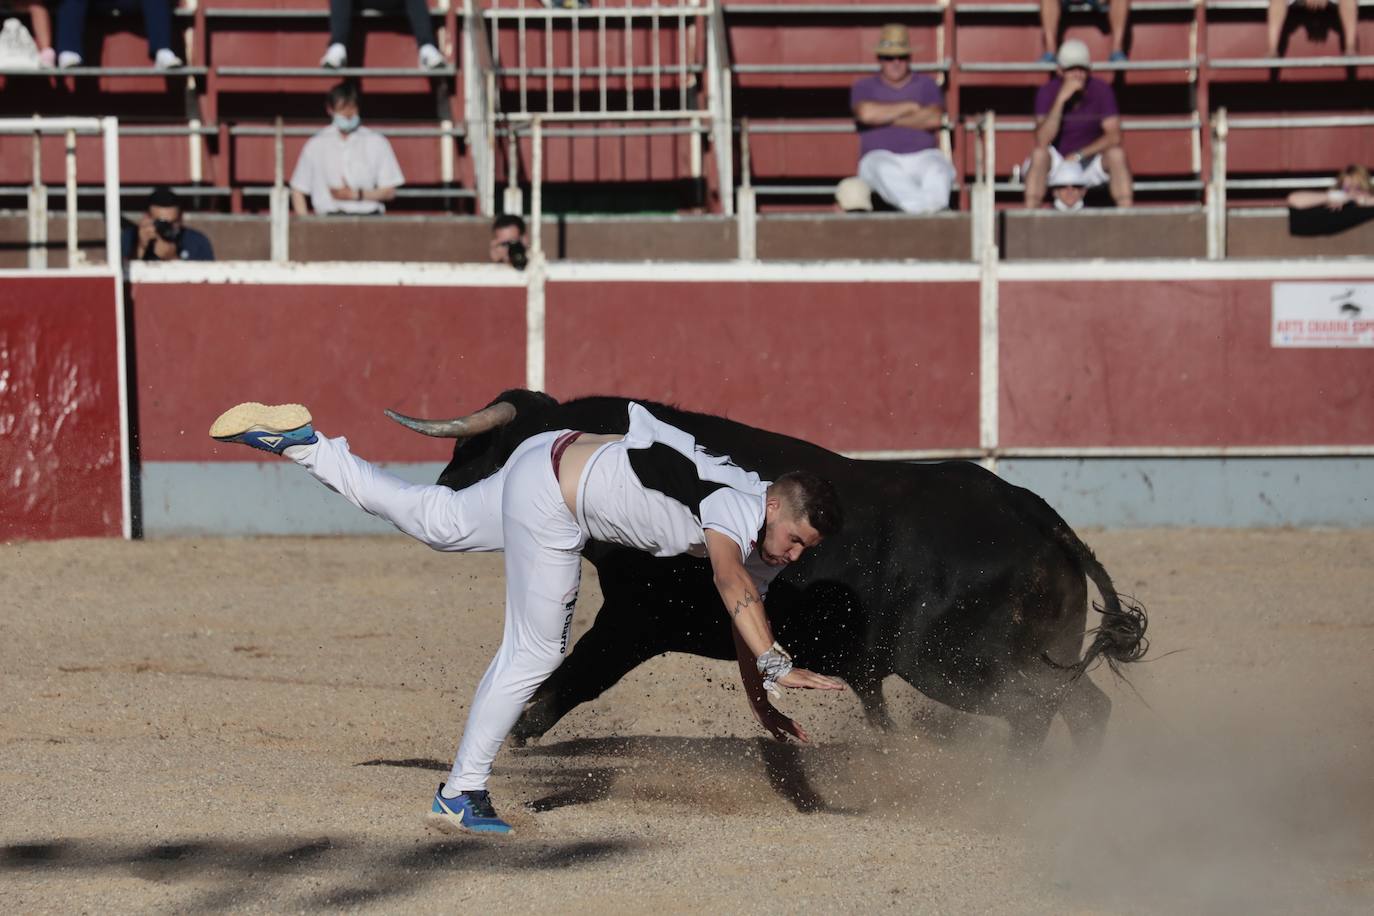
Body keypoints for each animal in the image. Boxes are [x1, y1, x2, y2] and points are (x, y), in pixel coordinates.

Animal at [401, 390, 1148, 758]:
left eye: (485, 446)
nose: (443, 489)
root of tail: (1034, 513)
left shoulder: (636, 620)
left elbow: (580, 671)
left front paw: (520, 730)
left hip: (952, 661)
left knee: (1043, 707)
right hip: (1023, 654)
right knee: (1082, 706)